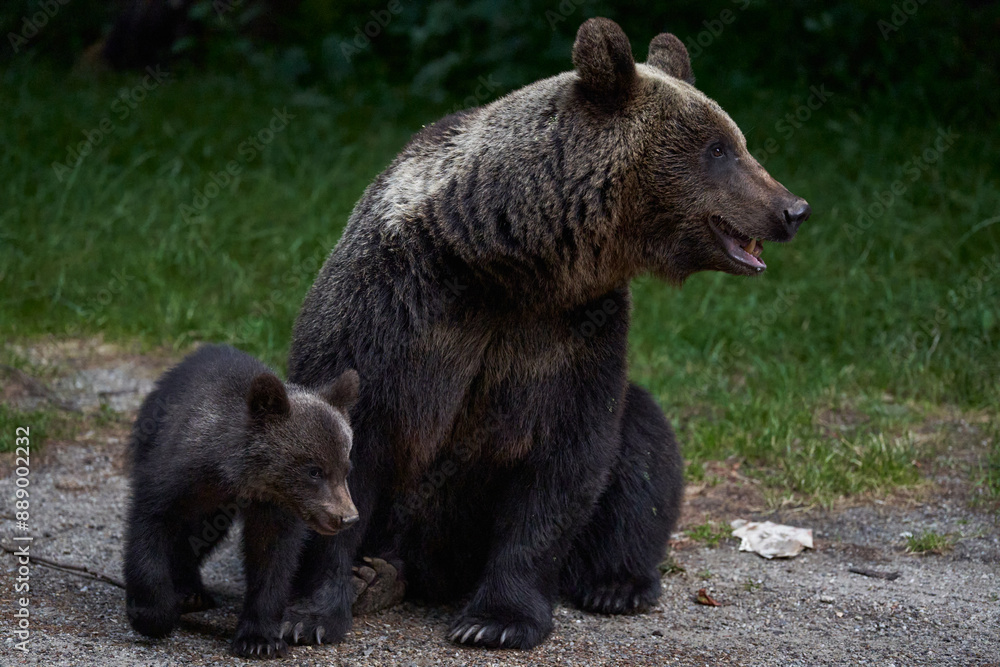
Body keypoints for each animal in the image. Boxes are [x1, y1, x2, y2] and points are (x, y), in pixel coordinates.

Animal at [123, 344, 359, 658]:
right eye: (314, 470)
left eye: (346, 468)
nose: (347, 517)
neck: (238, 476)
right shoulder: (178, 472)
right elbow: (151, 523)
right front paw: (153, 614)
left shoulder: (274, 508)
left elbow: (272, 560)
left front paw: (260, 638)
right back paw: (188, 593)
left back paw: (192, 591)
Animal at [283, 17, 810, 650]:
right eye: (719, 149)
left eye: (737, 142)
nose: (793, 208)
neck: (505, 257)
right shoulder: (393, 309)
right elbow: (344, 443)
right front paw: (312, 614)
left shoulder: (574, 330)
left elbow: (564, 463)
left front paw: (496, 620)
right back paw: (376, 578)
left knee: (643, 444)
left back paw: (615, 583)